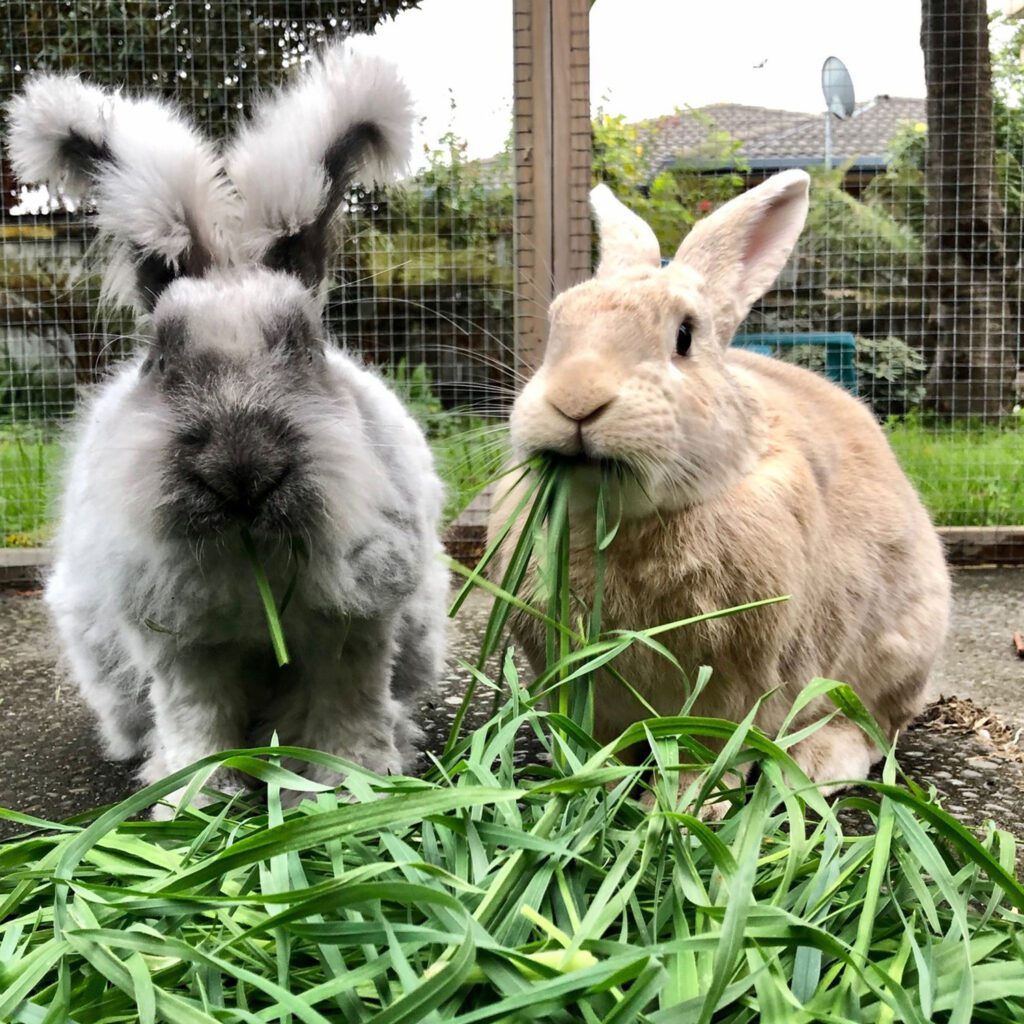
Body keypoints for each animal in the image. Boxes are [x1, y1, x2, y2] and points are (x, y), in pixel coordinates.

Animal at [6, 38, 449, 815]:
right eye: (160, 357)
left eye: (307, 347)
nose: (241, 473)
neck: (252, 553)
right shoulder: (183, 648)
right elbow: (198, 723)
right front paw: (194, 799)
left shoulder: (357, 628)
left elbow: (347, 713)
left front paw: (354, 785)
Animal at [490, 171, 951, 795]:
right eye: (558, 324)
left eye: (685, 336)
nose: (576, 399)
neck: (629, 522)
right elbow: (601, 738)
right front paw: (595, 779)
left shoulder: (736, 685)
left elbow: (706, 748)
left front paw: (688, 798)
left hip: (900, 649)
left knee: (873, 724)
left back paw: (818, 766)